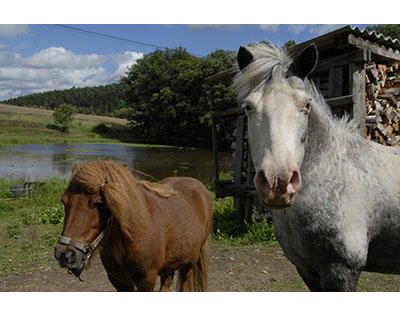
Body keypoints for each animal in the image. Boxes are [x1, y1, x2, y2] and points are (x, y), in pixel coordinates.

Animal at [55, 160, 216, 292]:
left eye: (97, 203)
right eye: (64, 201)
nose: (64, 254)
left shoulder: (147, 279)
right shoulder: (118, 280)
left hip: (189, 264)